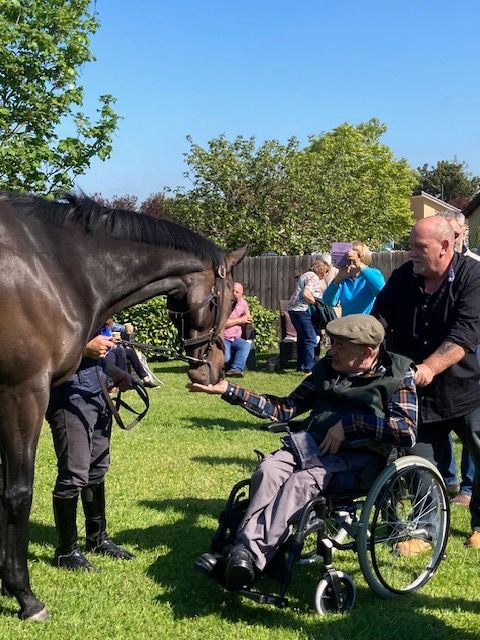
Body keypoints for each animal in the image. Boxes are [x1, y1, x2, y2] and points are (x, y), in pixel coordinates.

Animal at [0, 191, 247, 621]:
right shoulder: (23, 392)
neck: (58, 265)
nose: (213, 370)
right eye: (230, 299)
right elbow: (18, 491)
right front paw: (25, 596)